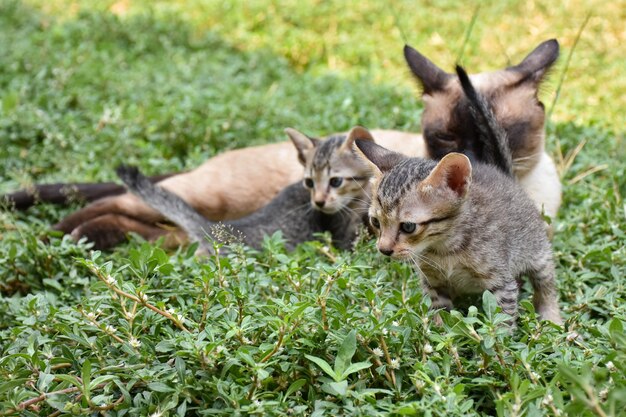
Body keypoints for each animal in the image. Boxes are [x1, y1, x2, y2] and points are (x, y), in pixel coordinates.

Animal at [354, 66, 564, 324]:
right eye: (375, 222)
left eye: (408, 227)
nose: (383, 249)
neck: (444, 248)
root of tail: (504, 174)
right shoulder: (433, 282)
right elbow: (440, 313)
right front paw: (435, 331)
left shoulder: (502, 283)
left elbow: (501, 322)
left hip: (538, 253)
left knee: (546, 284)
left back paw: (552, 318)